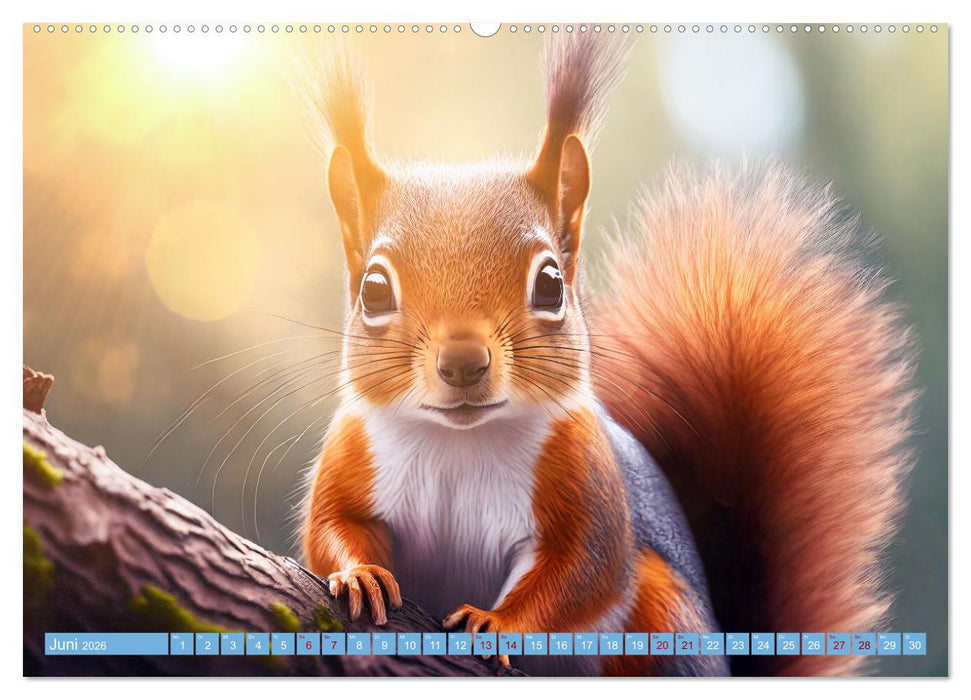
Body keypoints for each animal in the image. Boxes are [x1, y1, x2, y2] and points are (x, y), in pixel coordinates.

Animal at [299, 35, 917, 676]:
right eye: (374, 290)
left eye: (551, 284)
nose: (464, 361)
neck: (459, 443)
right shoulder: (350, 452)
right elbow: (332, 525)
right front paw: (360, 574)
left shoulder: (584, 476)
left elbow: (580, 570)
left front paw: (498, 623)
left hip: (664, 618)